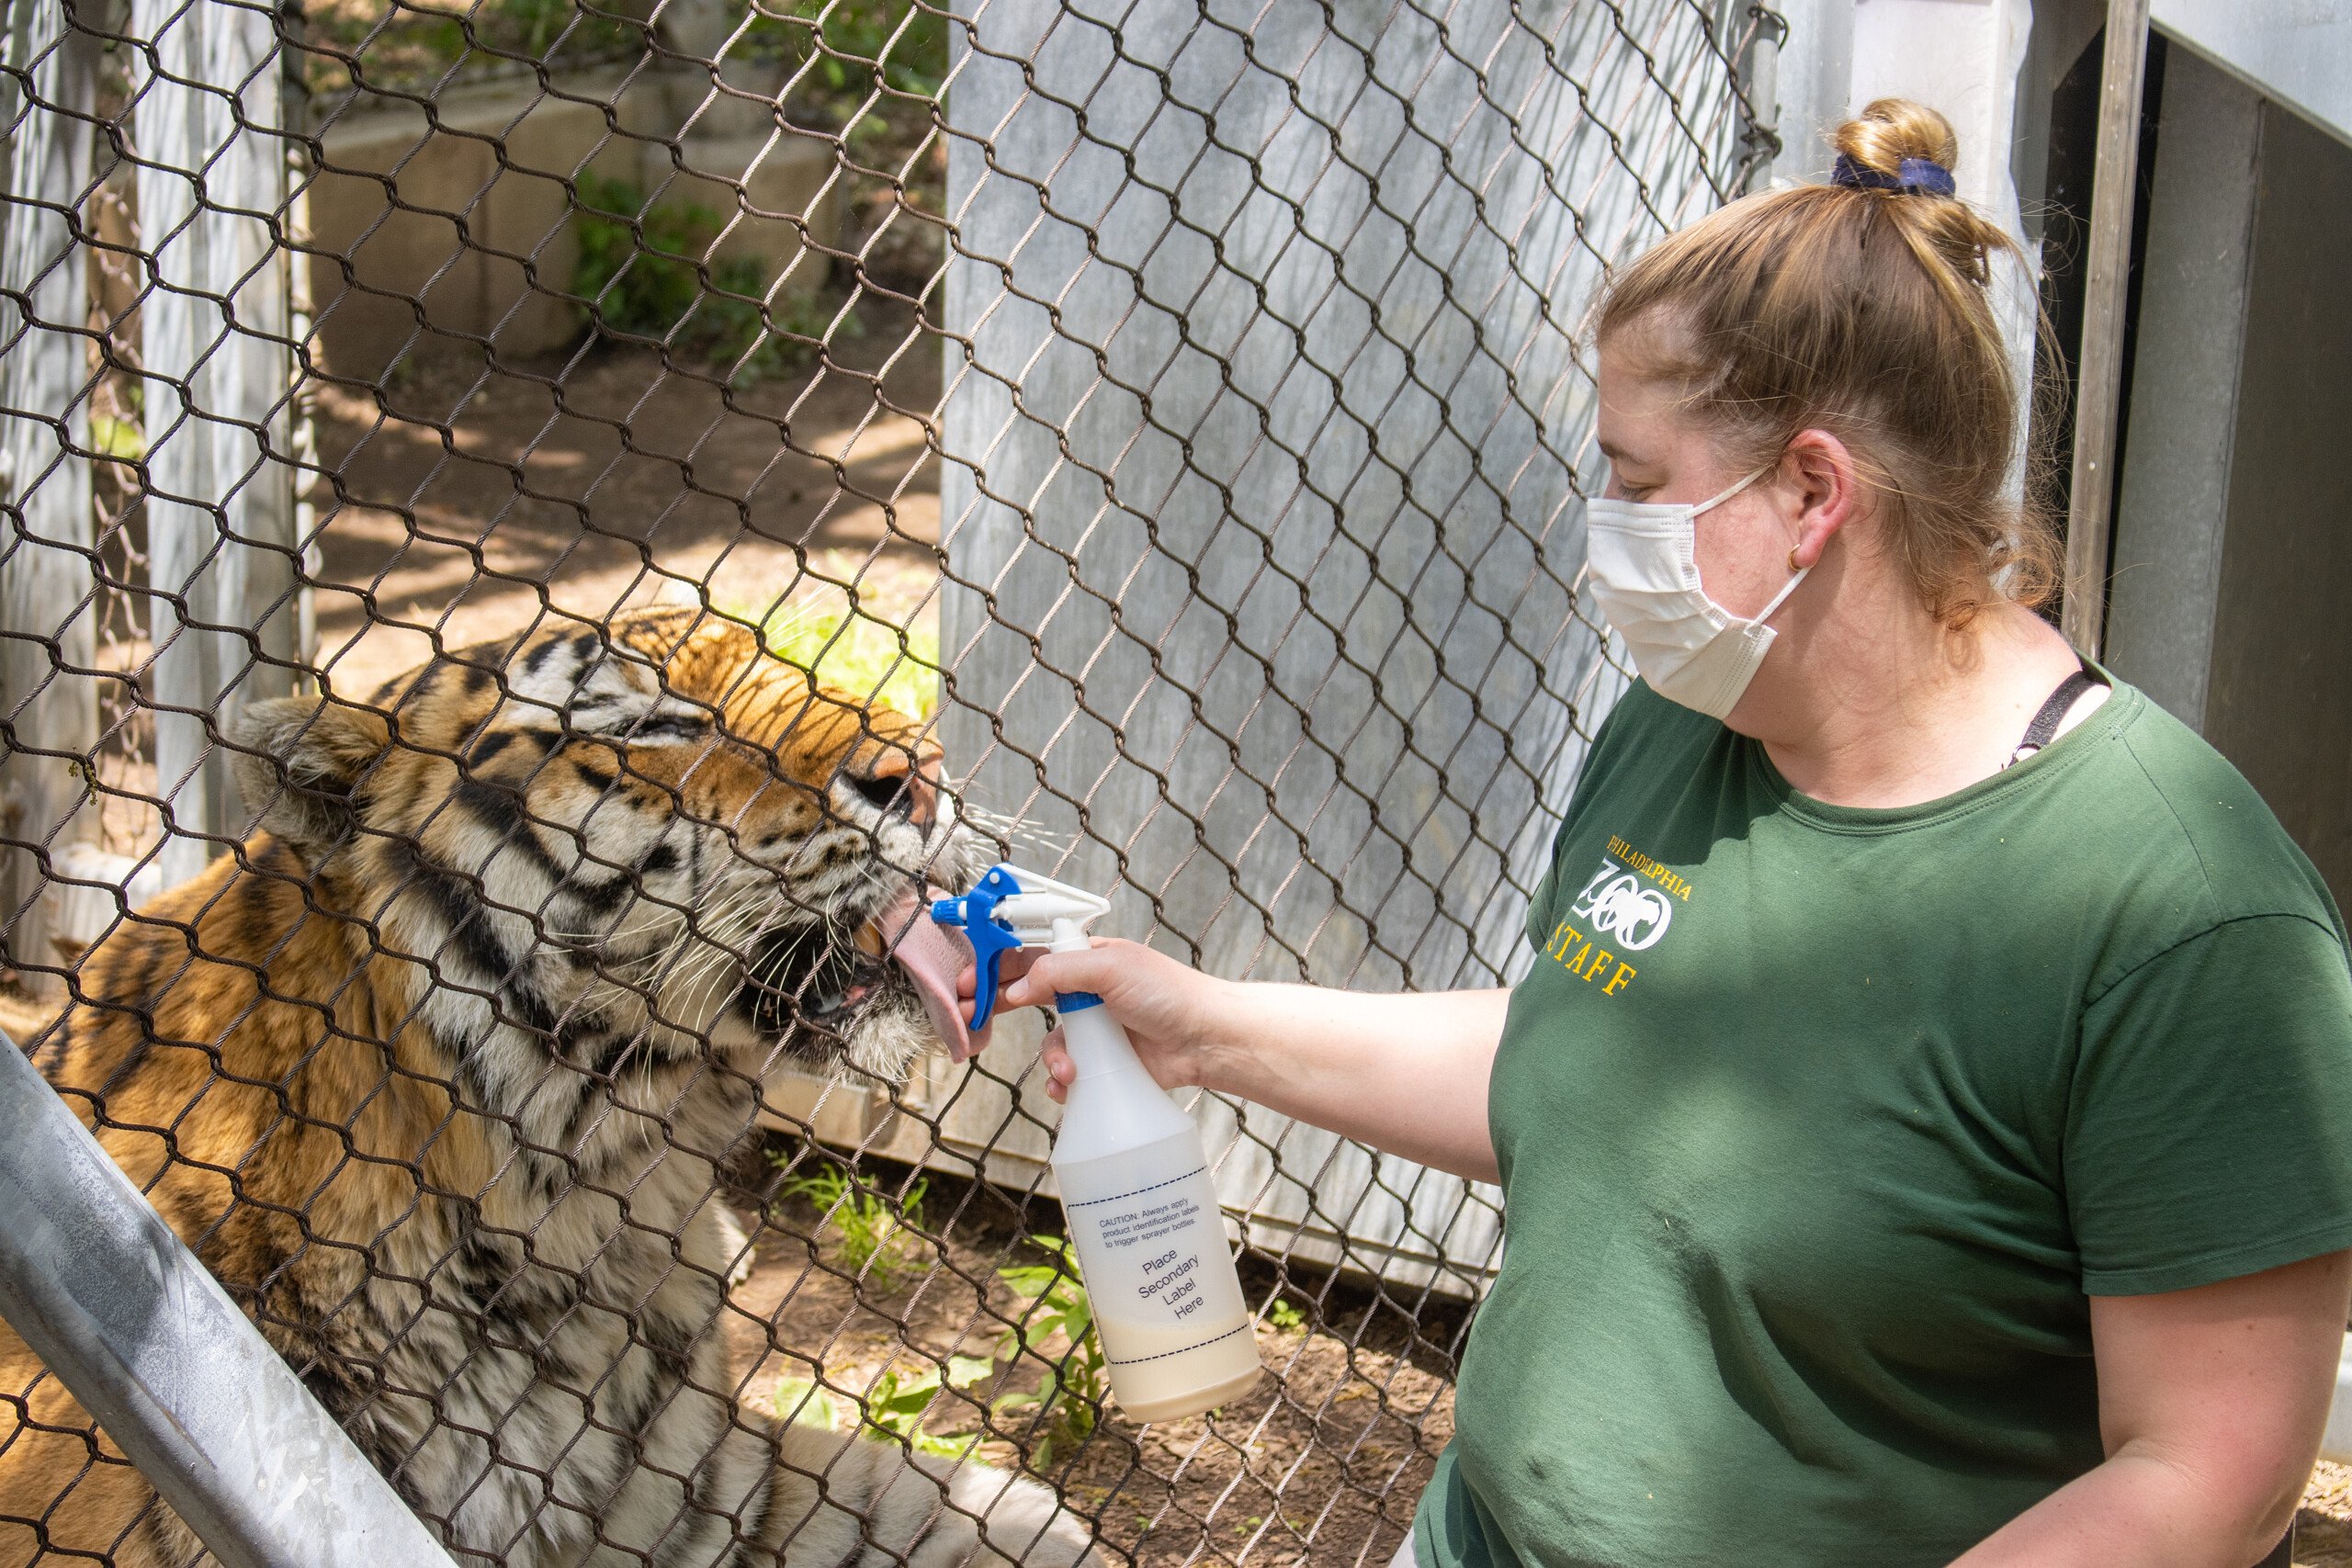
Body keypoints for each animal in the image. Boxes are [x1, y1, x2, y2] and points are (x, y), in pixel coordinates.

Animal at [0, 604, 1090, 1568]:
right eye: (653, 727)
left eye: (783, 662)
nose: (923, 772)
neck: (586, 1206)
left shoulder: (705, 1497)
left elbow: (992, 1512)